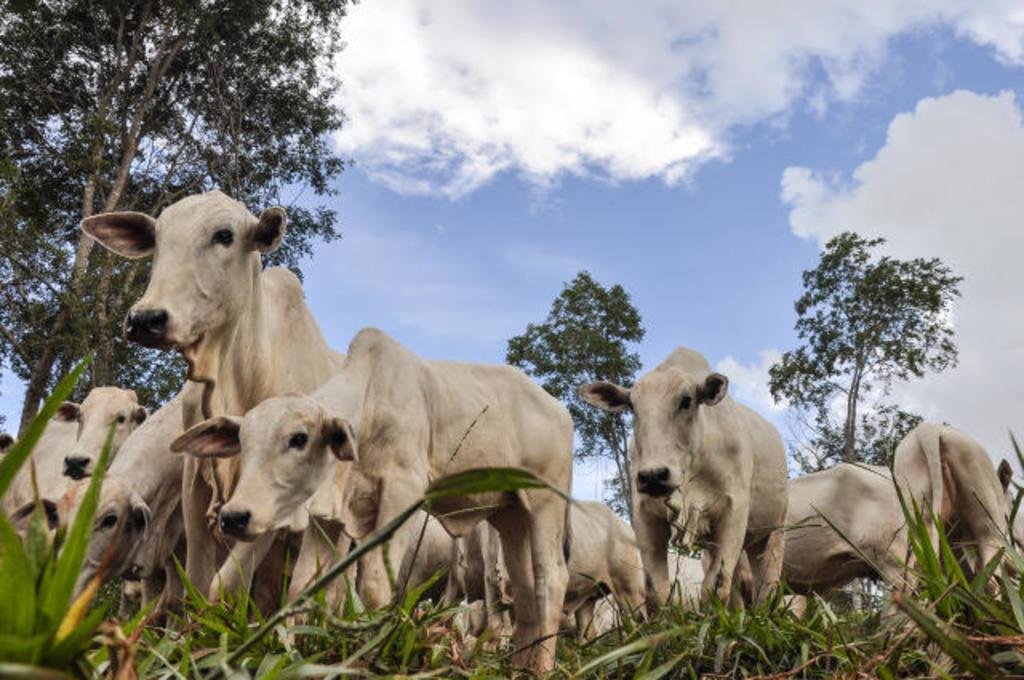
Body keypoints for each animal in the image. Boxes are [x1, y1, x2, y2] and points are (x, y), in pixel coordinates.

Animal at [80, 191, 344, 602]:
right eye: (158, 238)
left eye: (224, 236)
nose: (146, 319)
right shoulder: (195, 484)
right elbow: (197, 583)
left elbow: (225, 585)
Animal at [176, 329, 577, 675]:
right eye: (242, 442)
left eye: (299, 438)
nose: (234, 516)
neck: (369, 406)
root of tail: (559, 409)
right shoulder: (331, 515)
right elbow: (303, 587)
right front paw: (303, 653)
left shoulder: (404, 491)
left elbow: (373, 584)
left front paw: (371, 654)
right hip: (510, 515)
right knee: (524, 589)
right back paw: (518, 668)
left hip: (544, 501)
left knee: (552, 577)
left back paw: (542, 668)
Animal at [581, 348, 786, 606]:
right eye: (632, 407)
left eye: (686, 401)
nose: (653, 476)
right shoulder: (645, 516)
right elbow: (656, 590)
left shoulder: (734, 512)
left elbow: (716, 586)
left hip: (773, 532)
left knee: (767, 586)